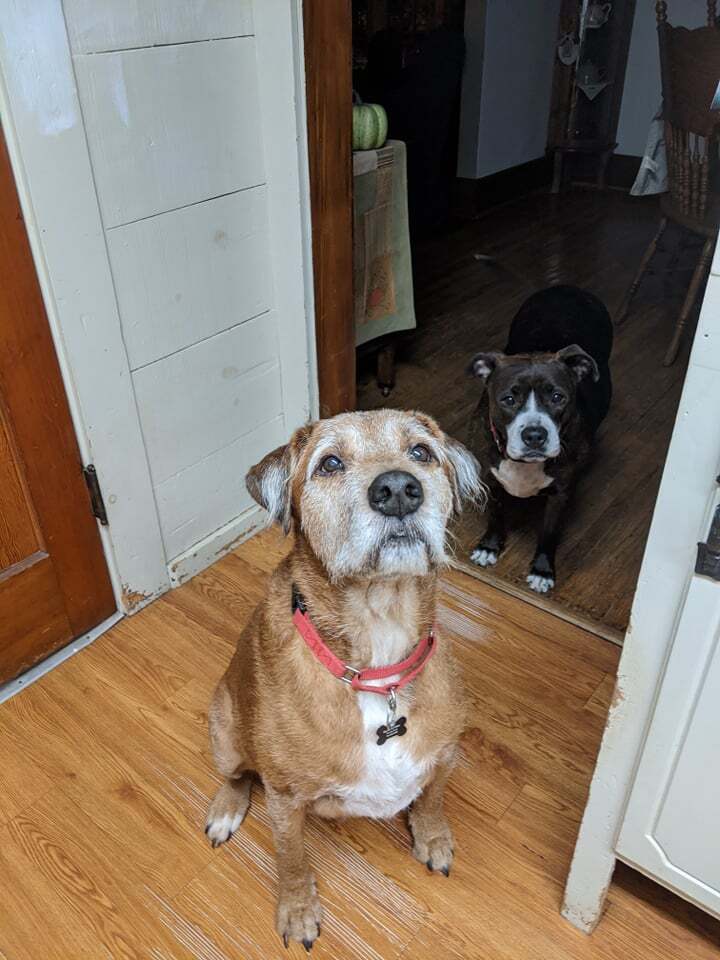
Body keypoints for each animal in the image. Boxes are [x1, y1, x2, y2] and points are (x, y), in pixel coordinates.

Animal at [205, 408, 480, 948]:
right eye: (330, 463)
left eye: (421, 452)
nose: (398, 489)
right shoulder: (285, 799)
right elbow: (291, 859)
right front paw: (297, 911)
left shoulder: (445, 753)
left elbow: (433, 797)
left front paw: (433, 837)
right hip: (224, 724)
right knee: (237, 774)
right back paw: (226, 809)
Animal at [466, 284, 612, 592]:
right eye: (508, 399)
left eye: (558, 397)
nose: (534, 435)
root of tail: (568, 287)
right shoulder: (491, 479)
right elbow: (495, 515)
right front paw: (489, 547)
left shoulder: (561, 494)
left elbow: (548, 532)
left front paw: (542, 571)